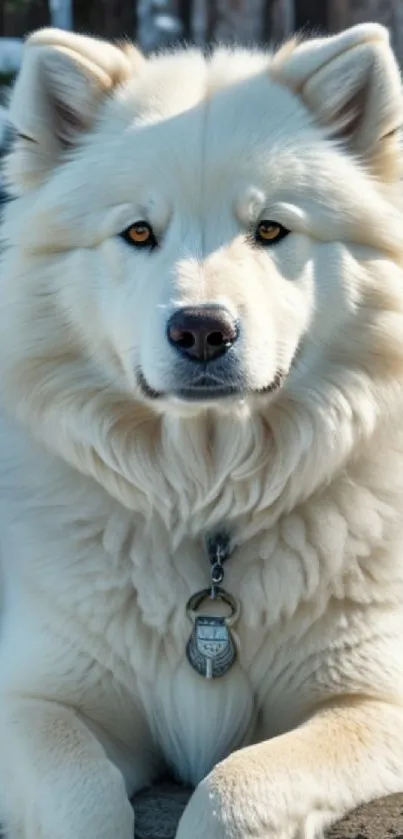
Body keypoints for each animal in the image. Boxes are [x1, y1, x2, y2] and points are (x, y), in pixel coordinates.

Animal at [0, 21, 403, 839]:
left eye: (270, 228)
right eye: (138, 231)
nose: (202, 331)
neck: (205, 500)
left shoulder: (371, 698)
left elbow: (233, 789)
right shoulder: (35, 698)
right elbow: (82, 793)